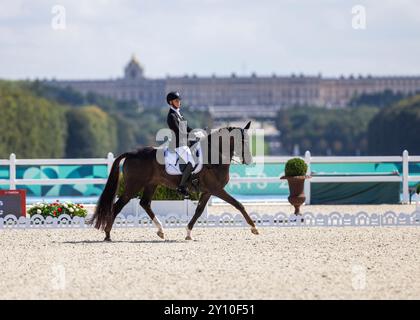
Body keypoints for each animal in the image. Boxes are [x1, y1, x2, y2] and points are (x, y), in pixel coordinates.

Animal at [89, 121, 260, 241]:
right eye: (241, 142)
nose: (249, 160)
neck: (214, 157)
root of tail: (132, 153)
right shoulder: (216, 189)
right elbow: (238, 204)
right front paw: (254, 228)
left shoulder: (207, 191)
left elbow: (198, 211)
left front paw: (188, 233)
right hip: (134, 186)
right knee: (118, 206)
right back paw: (108, 234)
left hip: (151, 184)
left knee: (145, 203)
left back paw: (161, 231)